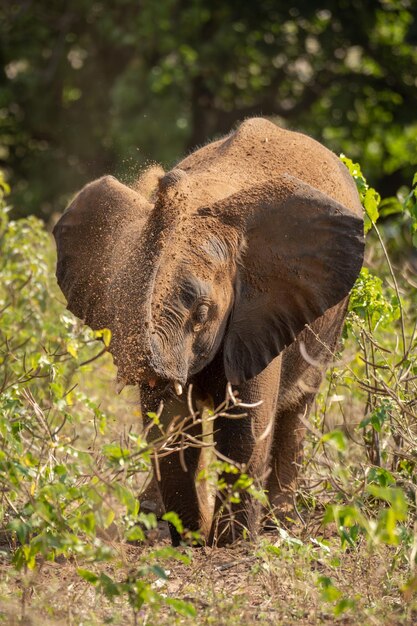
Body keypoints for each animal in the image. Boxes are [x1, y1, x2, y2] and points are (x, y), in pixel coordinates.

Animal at [53, 118, 362, 544]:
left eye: (201, 313)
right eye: (117, 305)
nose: (167, 183)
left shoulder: (259, 312)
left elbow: (245, 427)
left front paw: (230, 544)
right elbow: (173, 427)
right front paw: (191, 541)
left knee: (297, 410)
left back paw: (279, 527)